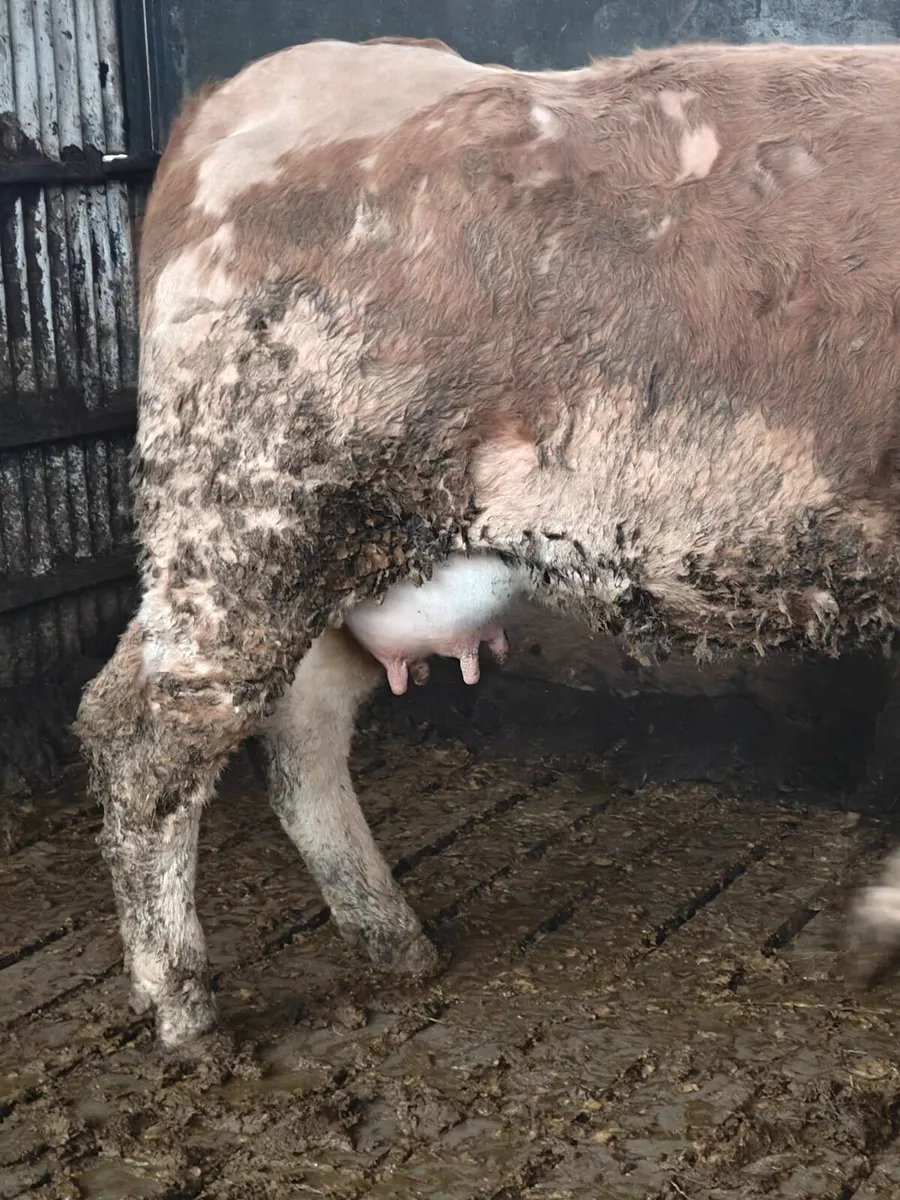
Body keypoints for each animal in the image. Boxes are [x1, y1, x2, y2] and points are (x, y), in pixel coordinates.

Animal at [76, 34, 900, 1051]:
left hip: (349, 549)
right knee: (149, 731)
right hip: (245, 518)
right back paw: (185, 1007)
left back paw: (393, 938)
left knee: (302, 732)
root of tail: (246, 90)